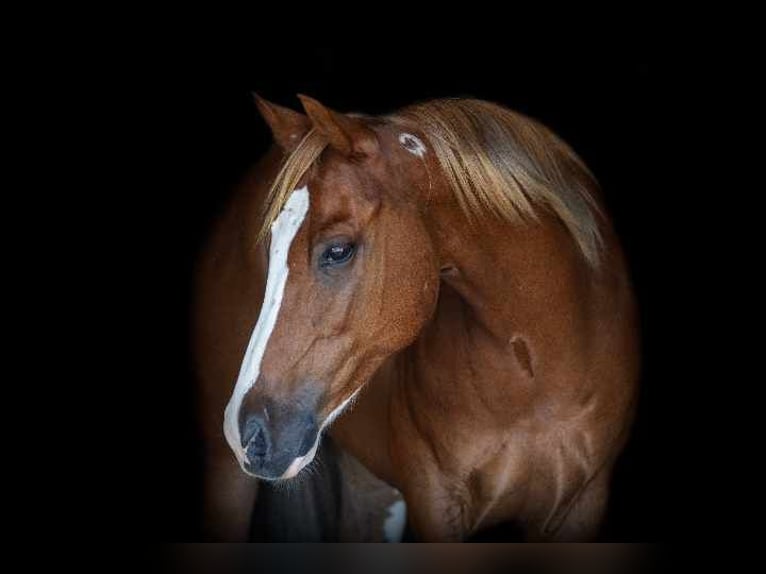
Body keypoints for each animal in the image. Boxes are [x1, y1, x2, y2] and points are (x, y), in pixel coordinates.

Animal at [194, 95, 640, 544]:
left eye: (338, 250)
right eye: (269, 246)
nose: (247, 432)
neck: (536, 382)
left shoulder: (581, 505)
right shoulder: (436, 501)